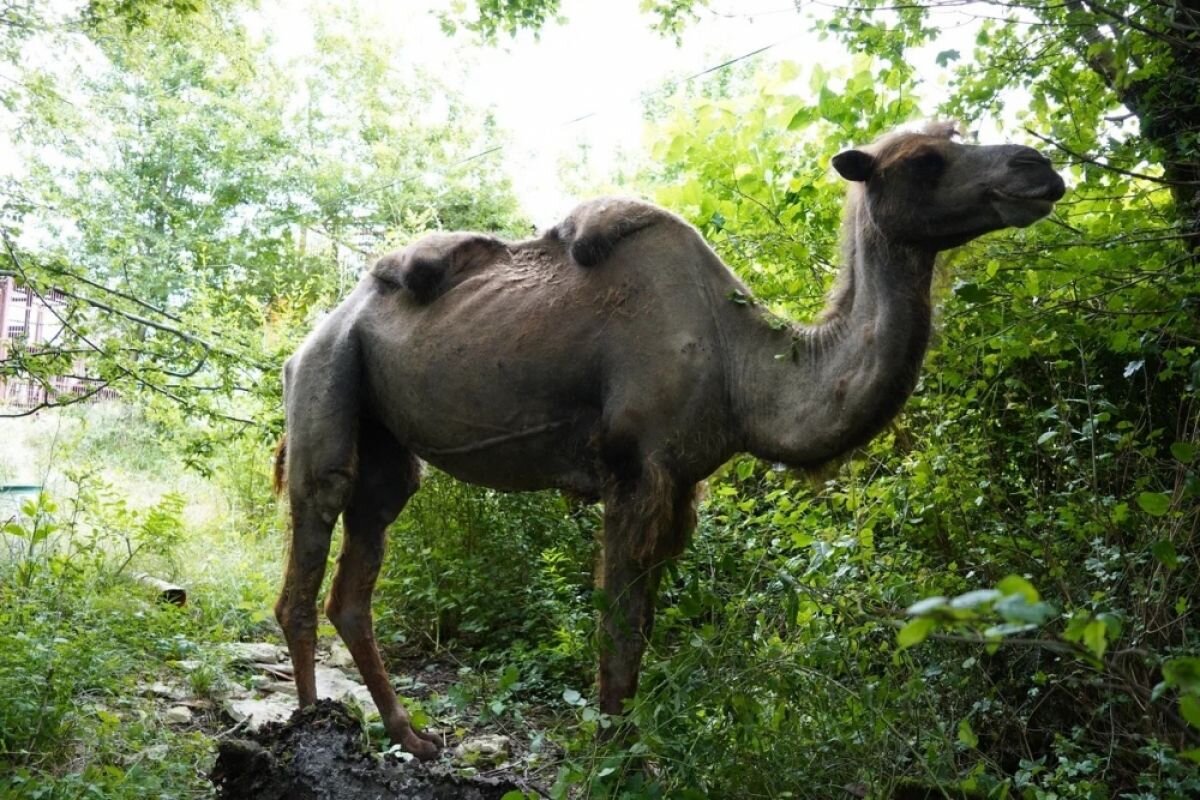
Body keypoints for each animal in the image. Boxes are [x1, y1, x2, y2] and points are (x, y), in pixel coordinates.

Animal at [276, 122, 1065, 762]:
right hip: (328, 376)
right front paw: (618, 762)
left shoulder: (680, 486)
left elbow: (643, 628)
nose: (1040, 168)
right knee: (311, 544)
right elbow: (619, 632)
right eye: (926, 160)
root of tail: (319, 329)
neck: (741, 365)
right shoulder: (634, 469)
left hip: (385, 444)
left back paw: (412, 735)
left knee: (357, 576)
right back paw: (311, 725)